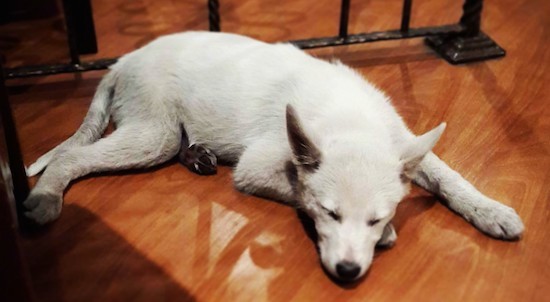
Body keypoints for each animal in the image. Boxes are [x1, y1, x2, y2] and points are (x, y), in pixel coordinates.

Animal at [24, 31, 528, 282]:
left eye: (376, 216)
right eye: (329, 213)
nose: (348, 272)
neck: (349, 118)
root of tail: (122, 61)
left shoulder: (403, 141)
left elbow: (451, 177)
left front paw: (491, 211)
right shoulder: (257, 167)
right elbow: (297, 189)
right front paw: (386, 239)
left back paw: (199, 153)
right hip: (154, 134)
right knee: (71, 160)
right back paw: (45, 198)